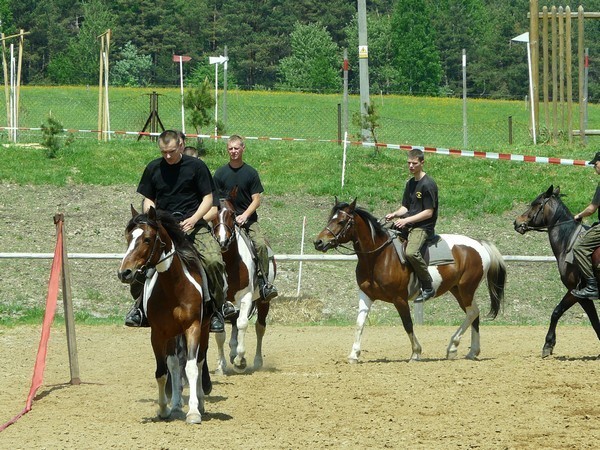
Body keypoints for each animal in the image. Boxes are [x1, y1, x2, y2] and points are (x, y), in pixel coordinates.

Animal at [117, 206, 211, 424]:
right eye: (128, 237)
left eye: (147, 239)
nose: (124, 273)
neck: (174, 288)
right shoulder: (158, 333)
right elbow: (161, 372)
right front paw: (163, 408)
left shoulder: (193, 327)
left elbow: (192, 367)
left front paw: (193, 412)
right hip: (172, 335)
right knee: (174, 364)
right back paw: (175, 405)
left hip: (205, 328)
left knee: (200, 361)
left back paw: (200, 403)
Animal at [210, 186, 274, 372]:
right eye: (212, 214)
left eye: (232, 214)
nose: (223, 241)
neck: (232, 263)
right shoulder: (220, 301)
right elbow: (221, 333)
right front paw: (221, 365)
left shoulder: (246, 296)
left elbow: (243, 324)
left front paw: (240, 360)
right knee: (233, 323)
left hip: (263, 301)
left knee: (259, 327)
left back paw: (256, 361)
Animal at [314, 199, 506, 364]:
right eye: (330, 218)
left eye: (341, 222)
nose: (318, 242)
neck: (379, 256)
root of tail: (479, 244)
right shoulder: (365, 295)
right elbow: (359, 324)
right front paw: (354, 354)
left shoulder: (399, 299)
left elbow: (407, 324)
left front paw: (416, 352)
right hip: (457, 290)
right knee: (474, 314)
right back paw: (472, 351)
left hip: (466, 289)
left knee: (472, 312)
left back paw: (453, 347)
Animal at [512, 185, 600, 356]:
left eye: (535, 204)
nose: (517, 222)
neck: (568, 242)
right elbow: (558, 312)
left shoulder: (576, 292)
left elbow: (559, 312)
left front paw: (548, 345)